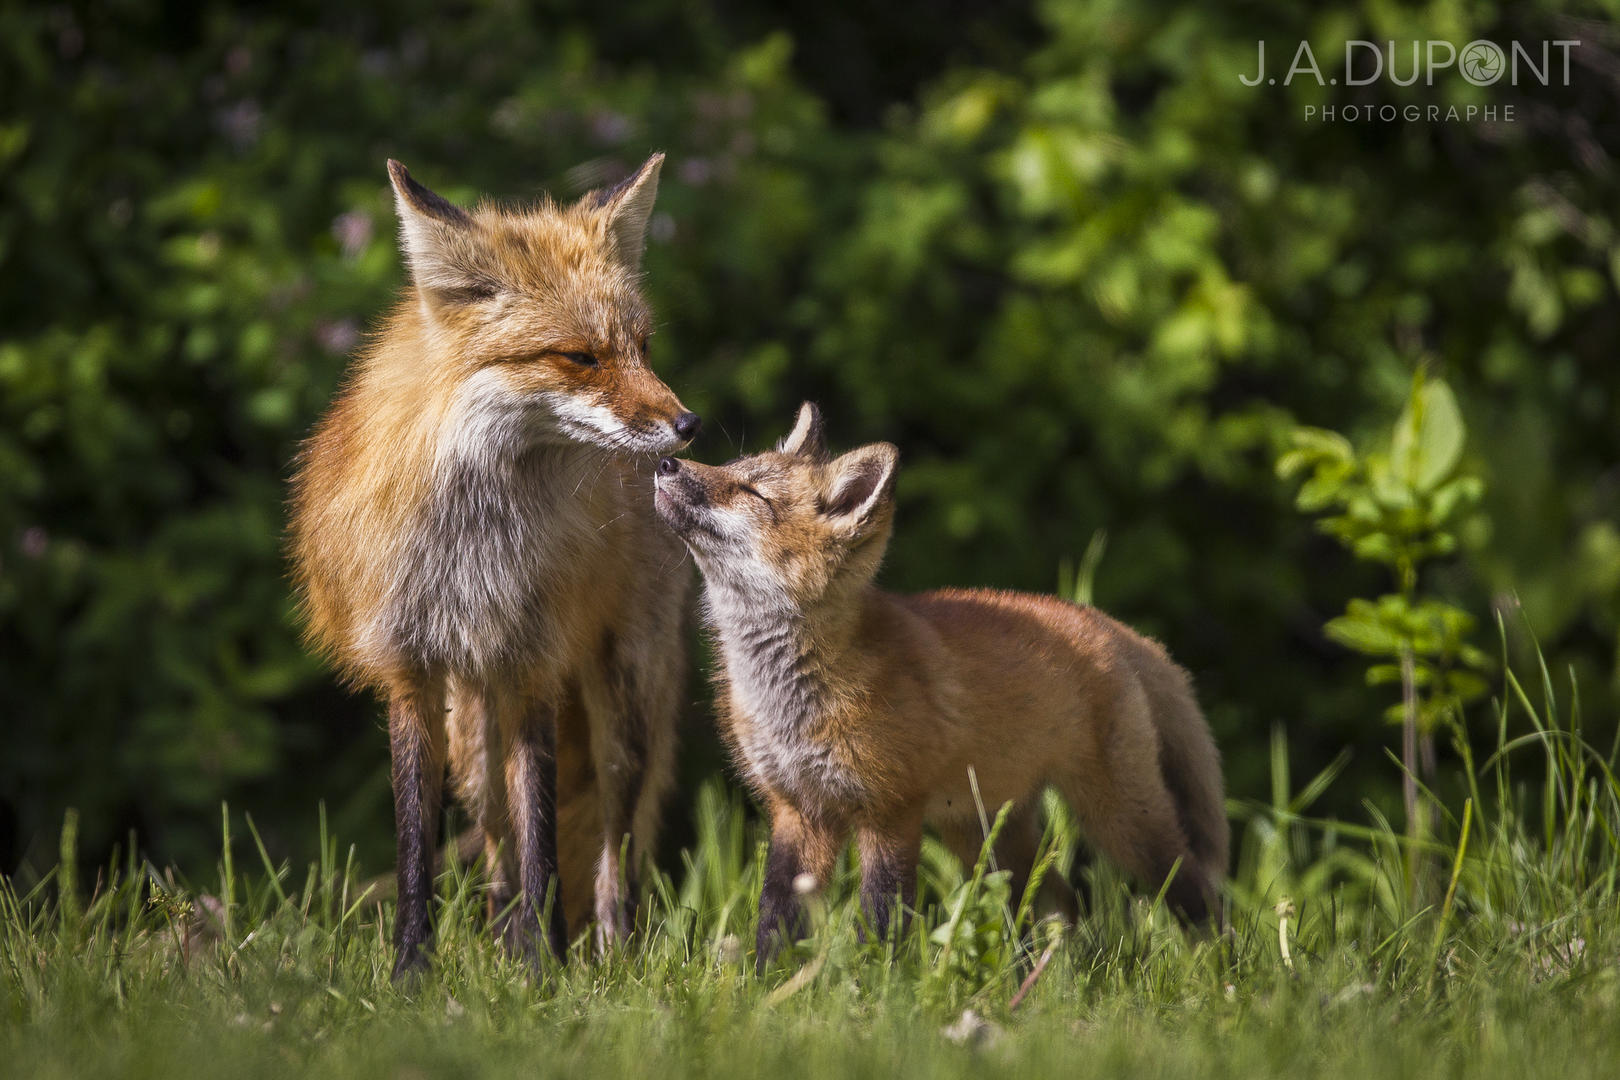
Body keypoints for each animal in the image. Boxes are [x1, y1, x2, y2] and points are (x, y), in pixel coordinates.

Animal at [291, 158, 696, 977]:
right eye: (581, 357)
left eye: (642, 345)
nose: (688, 427)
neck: (474, 550)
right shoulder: (409, 670)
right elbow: (420, 847)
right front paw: (412, 974)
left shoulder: (533, 662)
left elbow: (545, 838)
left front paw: (548, 975)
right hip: (474, 739)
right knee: (500, 845)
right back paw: (505, 948)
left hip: (621, 712)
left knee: (611, 856)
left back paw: (608, 958)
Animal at [651, 403, 1218, 965]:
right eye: (729, 466)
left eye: (753, 493)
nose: (666, 464)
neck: (793, 695)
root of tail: (1109, 626)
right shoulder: (798, 810)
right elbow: (775, 918)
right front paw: (769, 980)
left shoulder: (891, 811)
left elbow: (882, 917)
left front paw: (874, 981)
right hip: (981, 834)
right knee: (1056, 899)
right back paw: (1041, 975)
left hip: (1122, 820)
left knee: (1194, 890)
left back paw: (1217, 966)